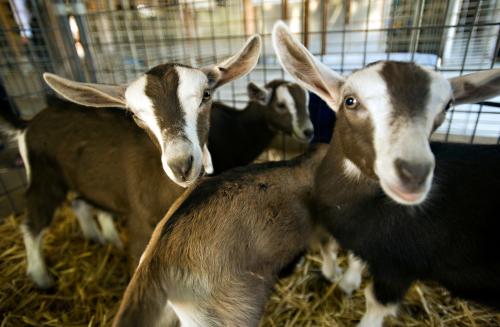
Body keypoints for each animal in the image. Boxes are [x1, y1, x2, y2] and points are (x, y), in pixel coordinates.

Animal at [2, 37, 262, 290]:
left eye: (206, 95)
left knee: (80, 203)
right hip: (43, 177)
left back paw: (102, 238)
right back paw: (41, 278)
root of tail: (27, 124)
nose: (181, 165)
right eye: (136, 115)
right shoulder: (140, 226)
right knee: (33, 224)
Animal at [274, 21, 500, 326]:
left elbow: (376, 302)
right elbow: (354, 258)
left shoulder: (400, 265)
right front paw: (348, 282)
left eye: (446, 108)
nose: (414, 174)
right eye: (350, 101)